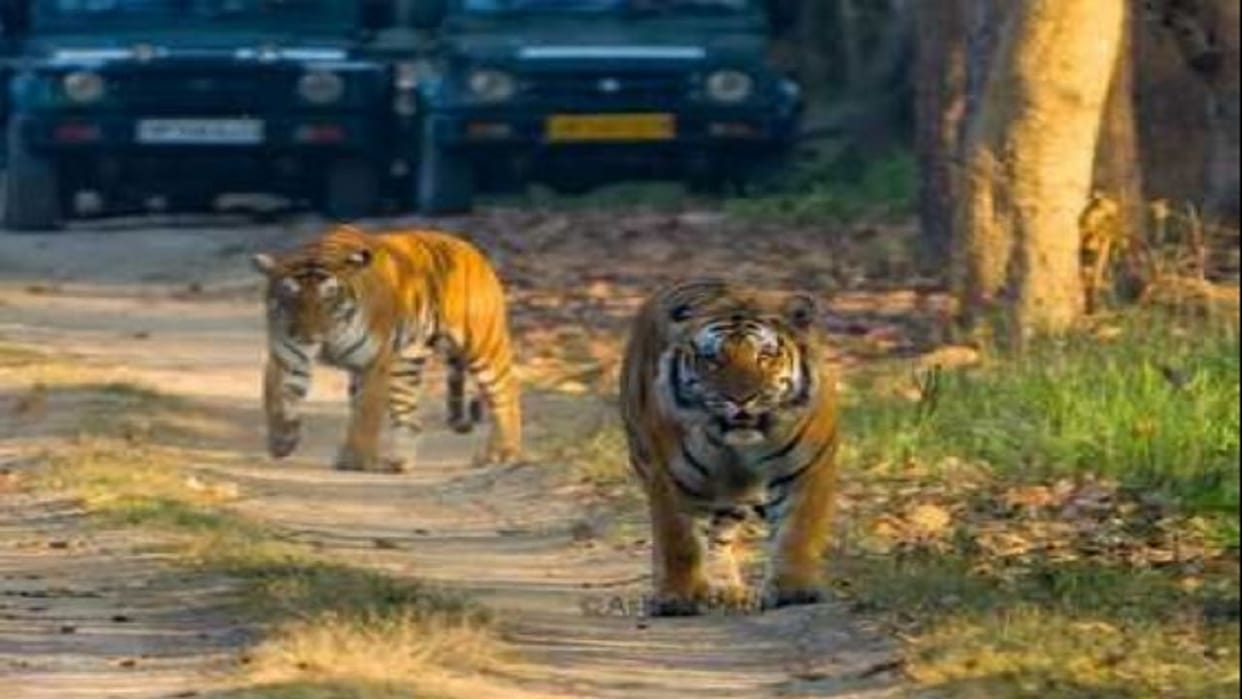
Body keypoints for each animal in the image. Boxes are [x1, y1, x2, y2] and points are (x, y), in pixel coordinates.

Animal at [250, 224, 521, 473]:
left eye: (328, 296)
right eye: (289, 295)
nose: (308, 335)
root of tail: (471, 250)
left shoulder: (373, 362)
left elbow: (366, 412)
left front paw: (355, 459)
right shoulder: (287, 355)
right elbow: (275, 398)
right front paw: (282, 440)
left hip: (483, 347)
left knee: (506, 395)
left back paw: (501, 453)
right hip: (404, 364)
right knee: (410, 416)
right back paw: (398, 462)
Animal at [619, 279, 839, 616]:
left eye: (766, 356)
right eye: (712, 359)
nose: (740, 399)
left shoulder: (809, 467)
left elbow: (799, 531)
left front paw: (795, 590)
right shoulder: (670, 477)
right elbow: (678, 541)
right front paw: (678, 596)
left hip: (736, 496)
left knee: (722, 537)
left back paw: (727, 589)